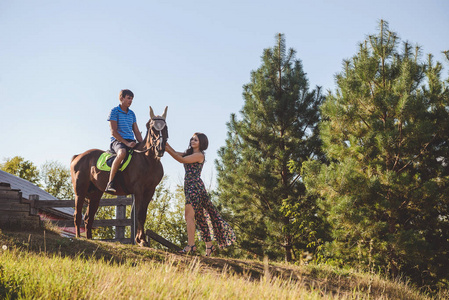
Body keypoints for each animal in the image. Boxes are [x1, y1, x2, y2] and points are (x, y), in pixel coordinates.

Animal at [70, 106, 168, 246]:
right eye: (152, 128)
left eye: (165, 128)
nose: (160, 149)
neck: (147, 160)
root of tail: (78, 156)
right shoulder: (138, 190)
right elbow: (139, 214)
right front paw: (141, 240)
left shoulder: (150, 190)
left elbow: (143, 214)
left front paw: (141, 239)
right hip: (80, 192)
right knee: (77, 214)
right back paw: (79, 236)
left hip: (95, 195)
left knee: (89, 218)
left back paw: (90, 238)